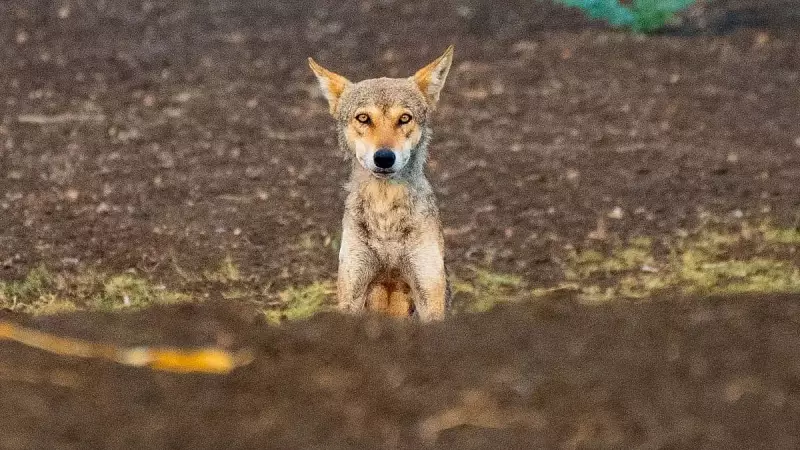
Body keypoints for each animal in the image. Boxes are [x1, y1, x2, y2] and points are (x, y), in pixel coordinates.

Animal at [308, 46, 454, 321]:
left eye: (405, 118)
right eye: (364, 118)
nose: (384, 157)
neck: (385, 218)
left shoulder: (428, 294)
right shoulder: (353, 288)